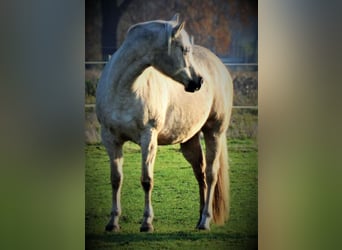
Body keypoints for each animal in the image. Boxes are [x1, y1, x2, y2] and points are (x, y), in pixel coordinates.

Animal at [97, 13, 234, 232]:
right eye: (184, 49)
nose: (198, 82)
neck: (124, 89)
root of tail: (219, 66)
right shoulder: (111, 139)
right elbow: (116, 180)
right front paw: (113, 222)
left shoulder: (148, 139)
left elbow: (147, 180)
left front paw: (147, 222)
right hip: (189, 141)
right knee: (201, 174)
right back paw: (199, 219)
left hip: (214, 132)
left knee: (211, 174)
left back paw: (205, 221)